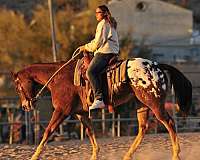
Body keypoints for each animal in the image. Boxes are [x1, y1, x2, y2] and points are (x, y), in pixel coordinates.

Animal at [11, 57, 192, 160]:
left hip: (155, 103)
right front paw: (94, 155)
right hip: (142, 105)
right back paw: (127, 155)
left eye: (18, 87)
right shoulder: (81, 113)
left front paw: (34, 156)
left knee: (169, 123)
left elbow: (48, 131)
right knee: (143, 128)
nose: (26, 106)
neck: (58, 78)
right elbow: (90, 132)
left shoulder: (62, 110)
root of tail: (158, 66)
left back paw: (176, 154)